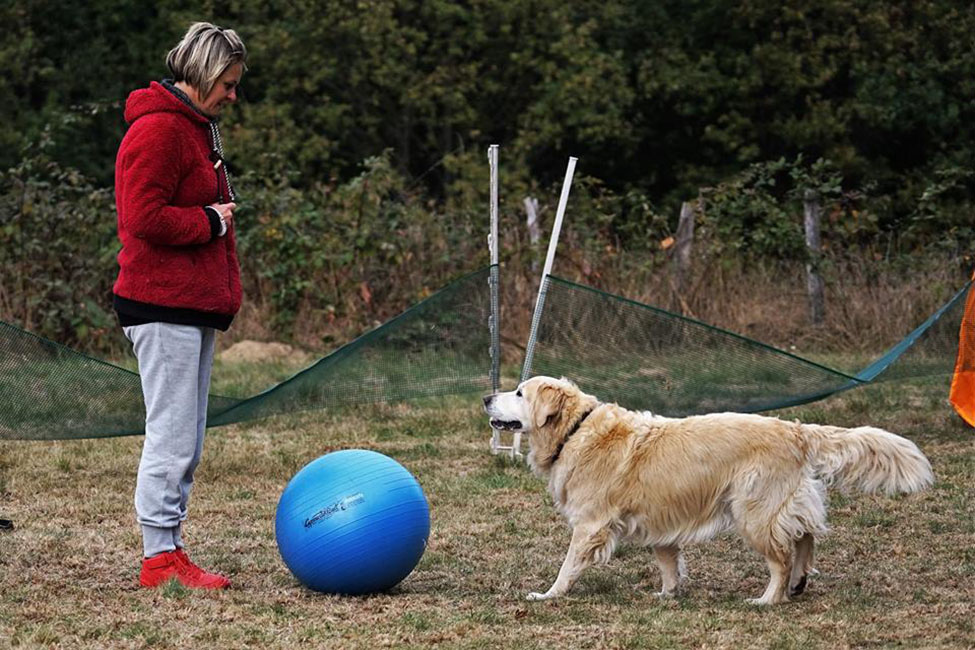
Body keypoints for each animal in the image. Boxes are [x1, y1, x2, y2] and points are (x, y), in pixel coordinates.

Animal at [484, 374, 936, 604]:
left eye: (519, 393)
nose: (488, 397)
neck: (575, 429)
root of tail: (794, 429)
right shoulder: (659, 521)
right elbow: (668, 562)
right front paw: (667, 595)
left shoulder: (590, 525)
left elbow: (567, 566)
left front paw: (548, 595)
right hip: (782, 503)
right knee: (806, 535)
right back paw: (799, 582)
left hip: (752, 513)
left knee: (782, 556)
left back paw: (770, 598)